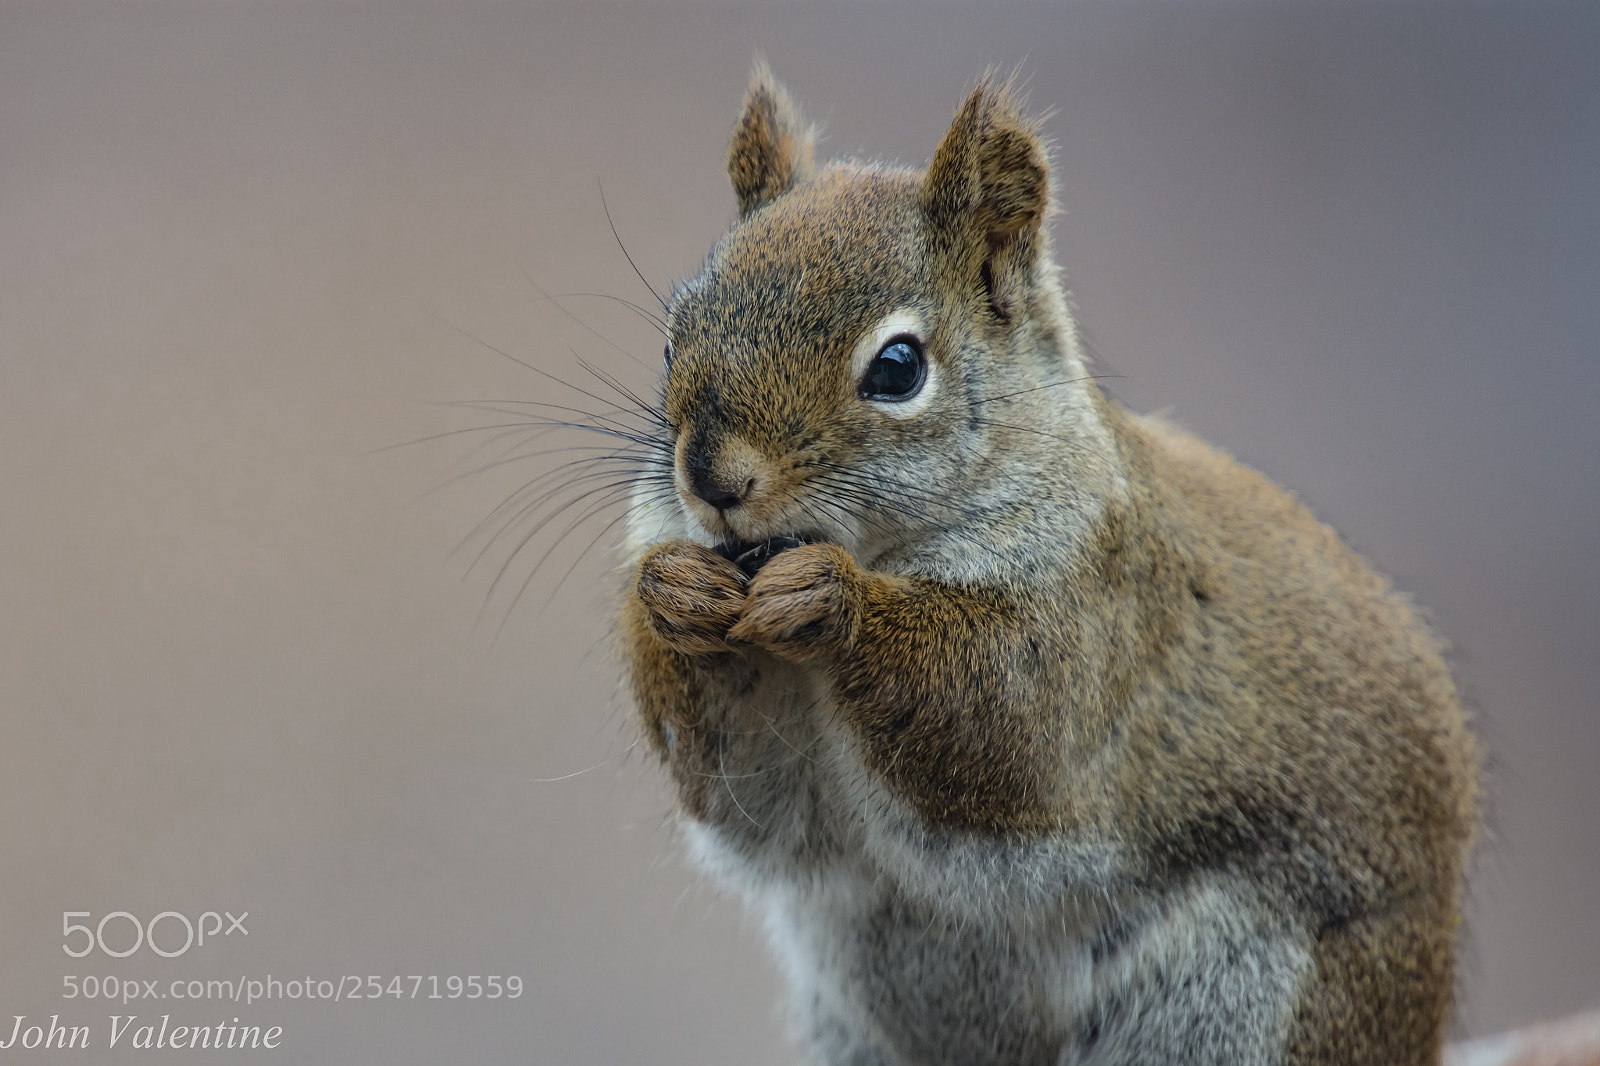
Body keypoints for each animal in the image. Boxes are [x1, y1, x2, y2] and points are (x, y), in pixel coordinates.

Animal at [616, 66, 1479, 1066]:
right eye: (673, 335)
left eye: (898, 367)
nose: (711, 479)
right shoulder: (775, 784)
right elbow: (745, 797)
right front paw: (672, 593)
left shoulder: (1102, 614)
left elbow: (1005, 719)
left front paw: (832, 601)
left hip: (1238, 1012)